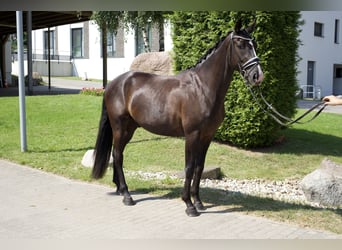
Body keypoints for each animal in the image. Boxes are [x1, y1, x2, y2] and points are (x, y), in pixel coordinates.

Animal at [91, 20, 264, 217]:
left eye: (254, 44)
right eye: (241, 45)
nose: (257, 76)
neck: (202, 88)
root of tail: (112, 84)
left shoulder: (207, 136)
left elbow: (199, 167)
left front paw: (198, 202)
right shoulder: (191, 135)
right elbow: (189, 167)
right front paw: (189, 205)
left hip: (129, 129)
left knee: (117, 154)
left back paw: (120, 189)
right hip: (120, 127)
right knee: (118, 156)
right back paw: (127, 195)